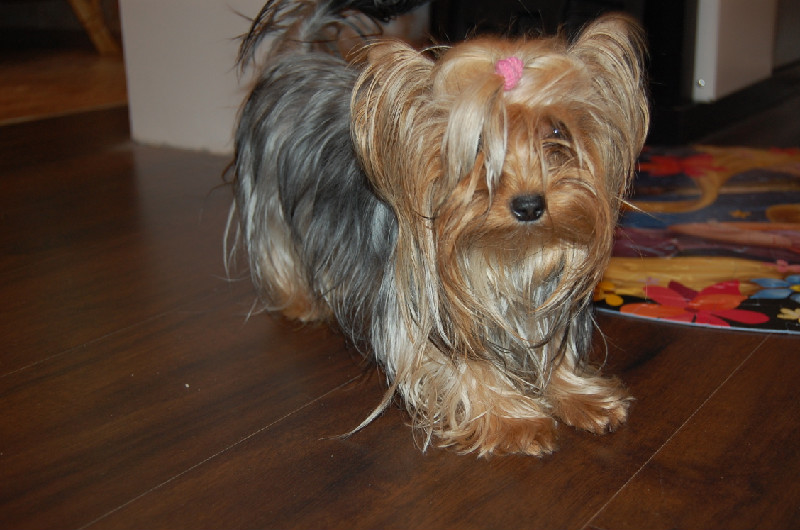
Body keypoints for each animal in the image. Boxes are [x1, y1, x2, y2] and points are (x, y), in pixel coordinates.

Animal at [228, 0, 649, 456]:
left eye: (556, 132)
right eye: (477, 144)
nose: (529, 205)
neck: (507, 255)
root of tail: (300, 58)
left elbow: (552, 346)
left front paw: (580, 395)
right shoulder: (423, 316)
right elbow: (461, 364)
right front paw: (514, 419)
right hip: (269, 197)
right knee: (278, 250)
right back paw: (301, 303)